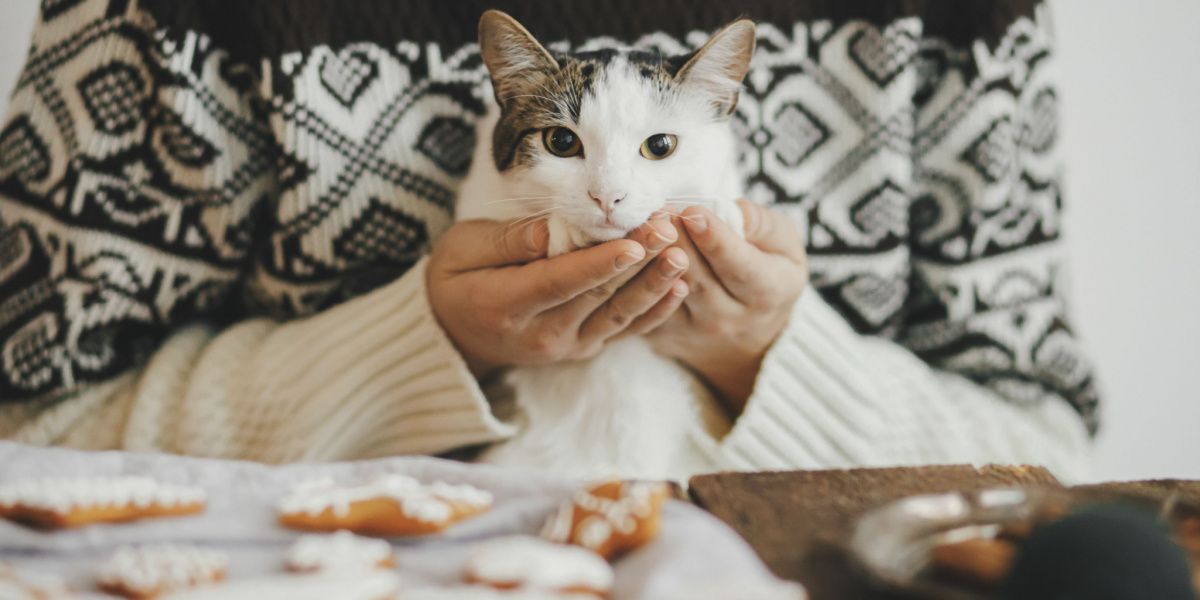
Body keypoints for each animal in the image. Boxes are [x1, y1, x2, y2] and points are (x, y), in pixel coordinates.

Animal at [453, 11, 753, 480]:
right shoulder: (478, 196)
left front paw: (718, 209)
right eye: (560, 142)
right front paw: (564, 228)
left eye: (660, 145)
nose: (608, 197)